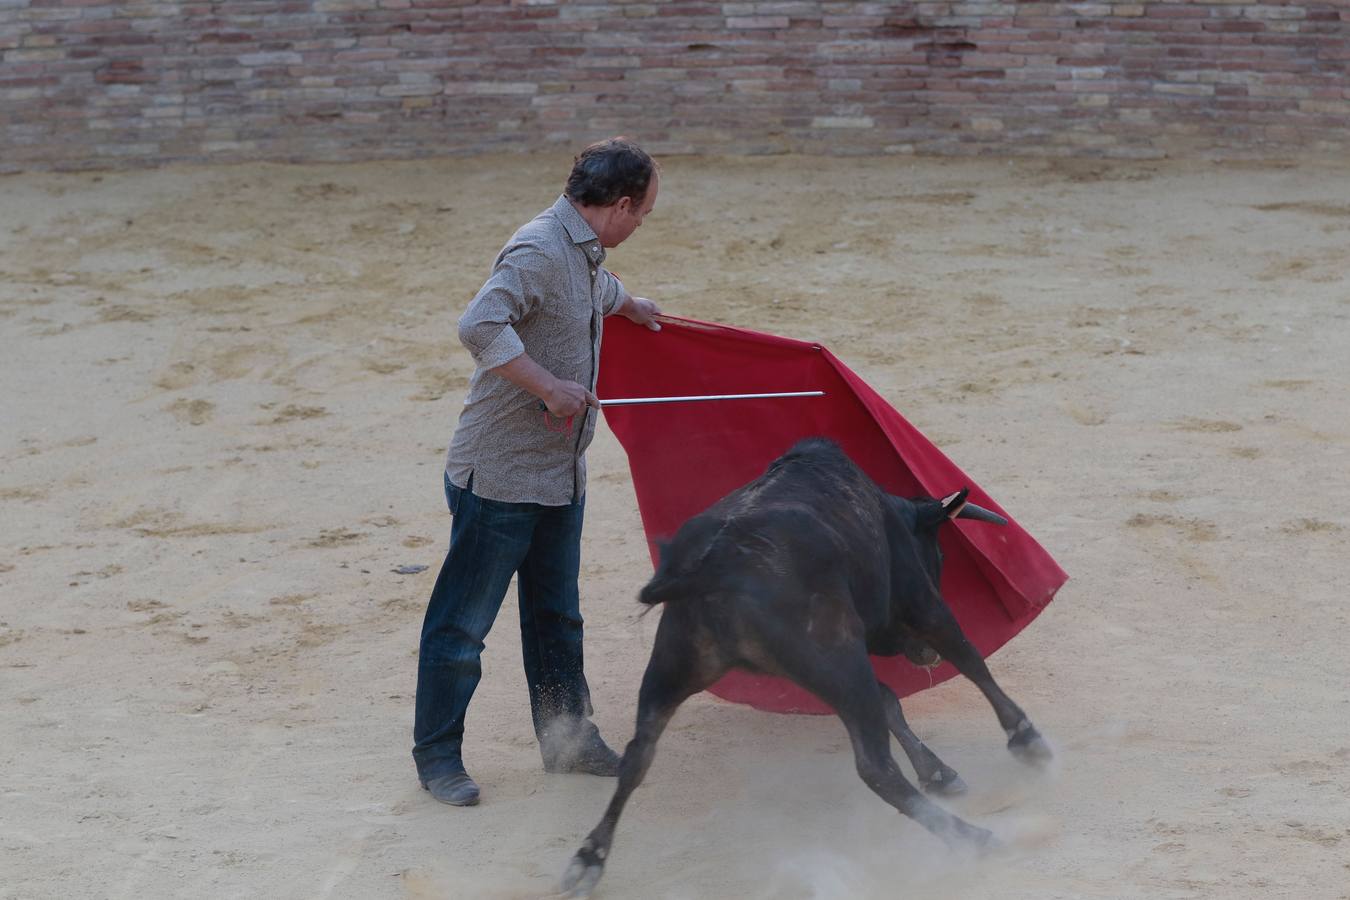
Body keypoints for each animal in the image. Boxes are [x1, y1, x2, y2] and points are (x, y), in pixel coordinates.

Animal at [558, 437, 1053, 895]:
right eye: (942, 556)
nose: (923, 656)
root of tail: (713, 568)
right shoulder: (917, 602)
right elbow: (968, 657)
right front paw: (1027, 740)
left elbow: (892, 699)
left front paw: (939, 771)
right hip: (839, 660)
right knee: (876, 768)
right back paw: (975, 838)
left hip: (674, 666)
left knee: (638, 755)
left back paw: (588, 859)